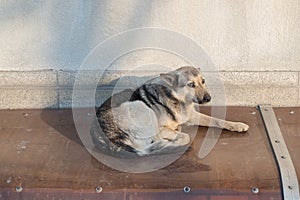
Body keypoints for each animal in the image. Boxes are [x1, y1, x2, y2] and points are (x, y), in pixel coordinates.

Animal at [91, 66, 248, 155]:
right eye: (191, 84)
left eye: (203, 81)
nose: (208, 98)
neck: (178, 99)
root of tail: (98, 134)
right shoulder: (162, 128)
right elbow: (185, 136)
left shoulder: (192, 116)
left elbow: (218, 120)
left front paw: (236, 125)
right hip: (141, 108)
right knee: (156, 143)